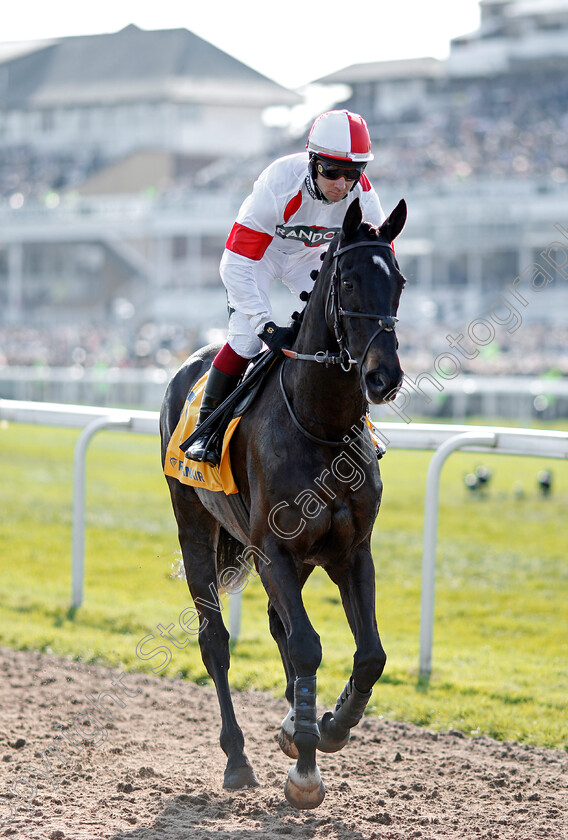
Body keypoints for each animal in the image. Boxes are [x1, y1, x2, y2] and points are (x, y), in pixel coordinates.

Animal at [160, 197, 408, 808]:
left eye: (399, 282)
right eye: (348, 280)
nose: (383, 376)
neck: (321, 425)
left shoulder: (351, 551)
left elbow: (369, 654)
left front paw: (325, 728)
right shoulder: (272, 547)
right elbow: (306, 647)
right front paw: (305, 769)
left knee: (279, 628)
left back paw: (295, 727)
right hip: (194, 525)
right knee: (216, 642)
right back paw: (238, 759)